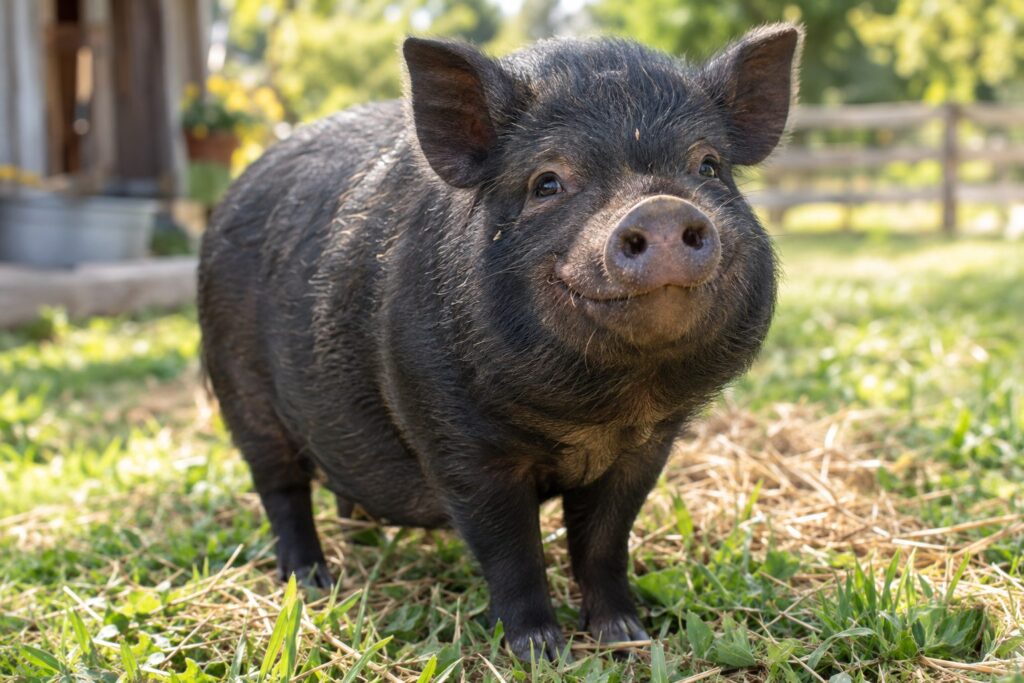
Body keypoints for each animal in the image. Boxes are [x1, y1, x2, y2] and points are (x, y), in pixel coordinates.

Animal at [198, 23, 801, 661]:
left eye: (708, 167)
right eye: (547, 182)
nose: (660, 207)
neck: (600, 416)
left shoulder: (646, 449)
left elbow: (605, 543)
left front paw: (625, 638)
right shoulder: (460, 443)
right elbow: (512, 551)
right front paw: (540, 651)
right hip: (243, 399)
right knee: (281, 490)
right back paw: (311, 581)